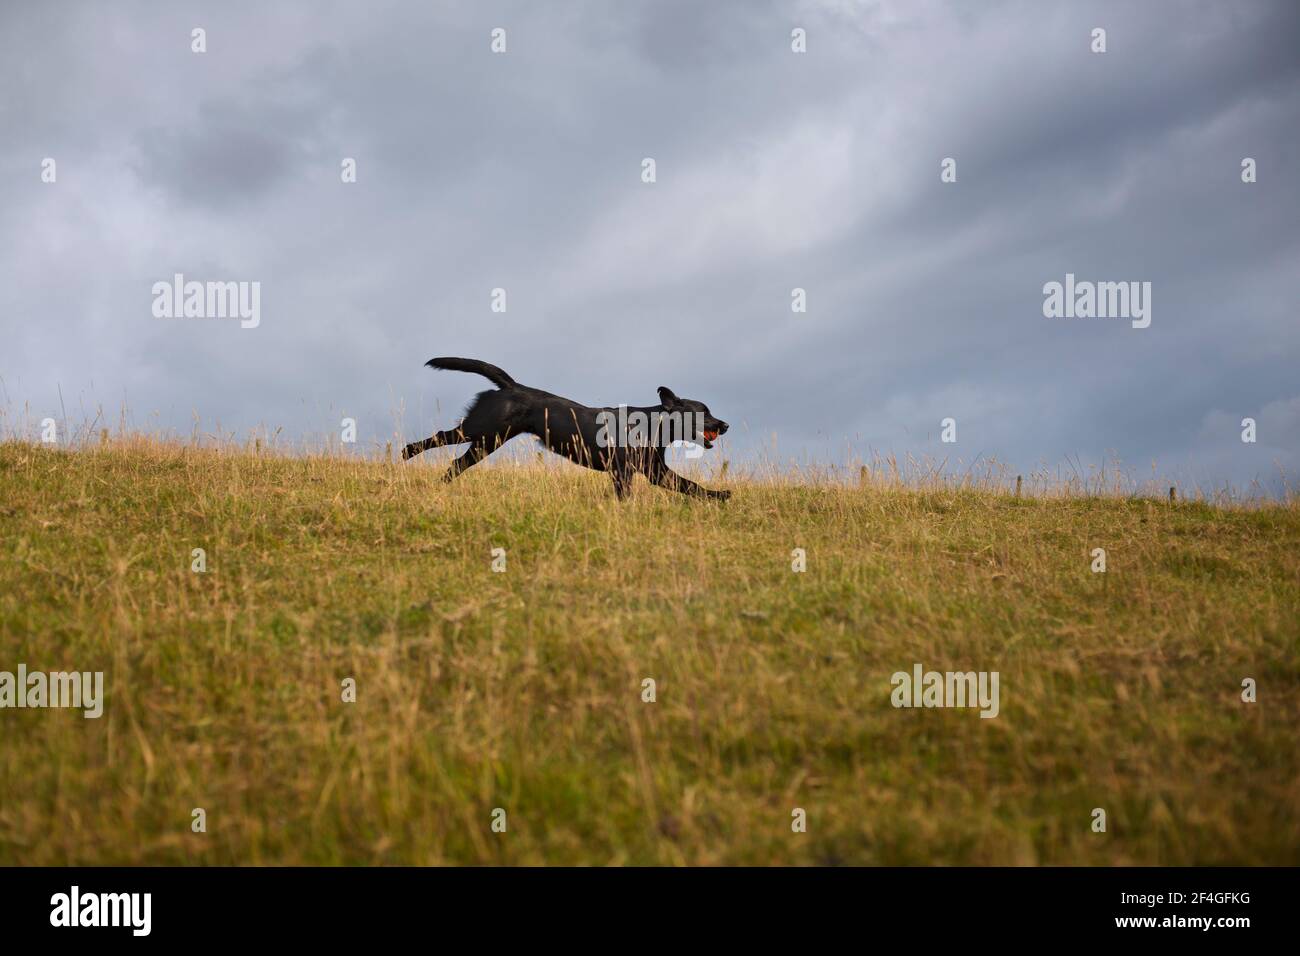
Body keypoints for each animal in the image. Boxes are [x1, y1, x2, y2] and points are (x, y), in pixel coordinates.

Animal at [403, 356, 733, 496]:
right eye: (704, 412)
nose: (726, 424)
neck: (654, 427)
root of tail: (511, 385)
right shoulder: (623, 472)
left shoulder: (656, 473)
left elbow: (691, 486)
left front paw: (719, 497)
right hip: (478, 429)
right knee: (434, 440)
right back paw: (405, 456)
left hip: (487, 442)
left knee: (454, 465)